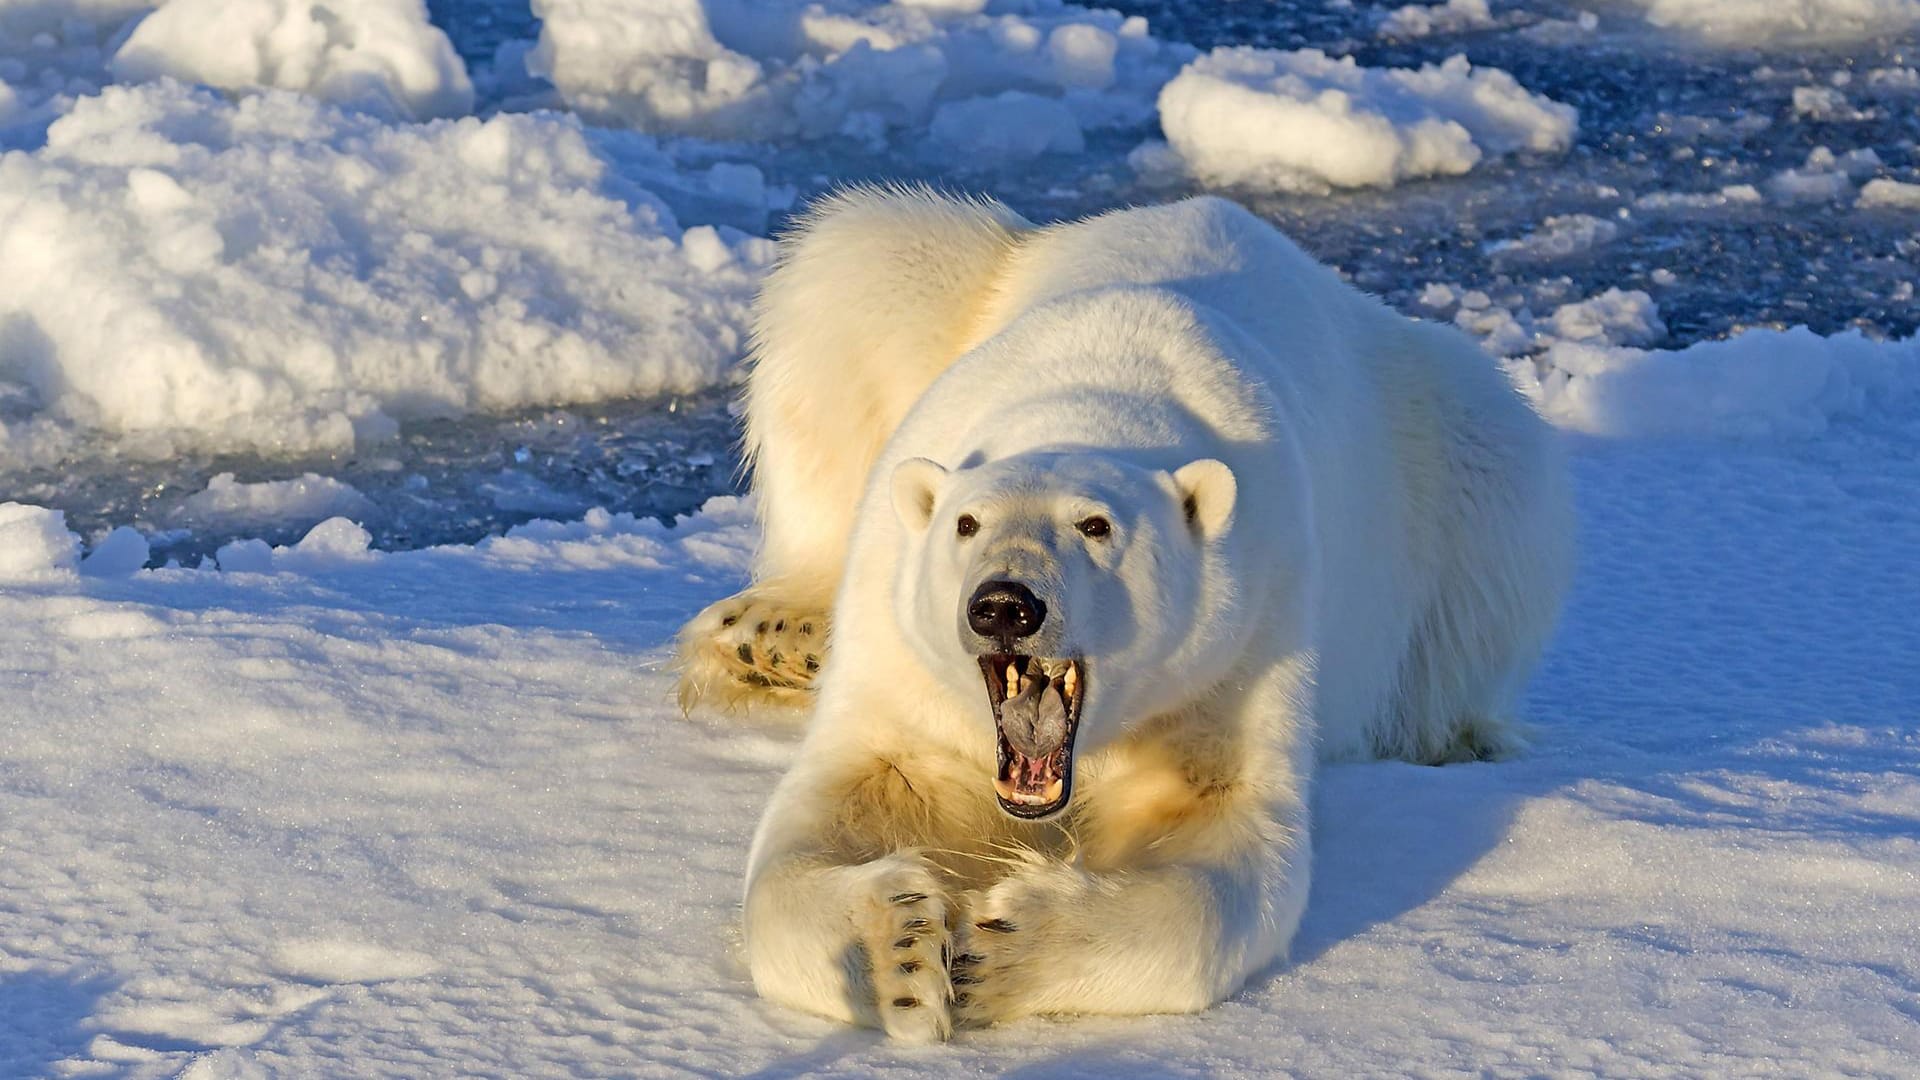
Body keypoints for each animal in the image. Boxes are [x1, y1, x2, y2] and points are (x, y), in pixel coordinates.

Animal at [675, 189, 1574, 1037]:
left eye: (1095, 526)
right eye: (967, 523)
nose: (1005, 605)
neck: (1096, 387)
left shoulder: (1242, 644)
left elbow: (1227, 842)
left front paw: (998, 949)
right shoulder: (903, 659)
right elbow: (843, 803)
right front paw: (898, 950)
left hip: (1446, 448)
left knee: (1497, 500)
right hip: (936, 288)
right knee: (847, 275)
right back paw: (776, 636)